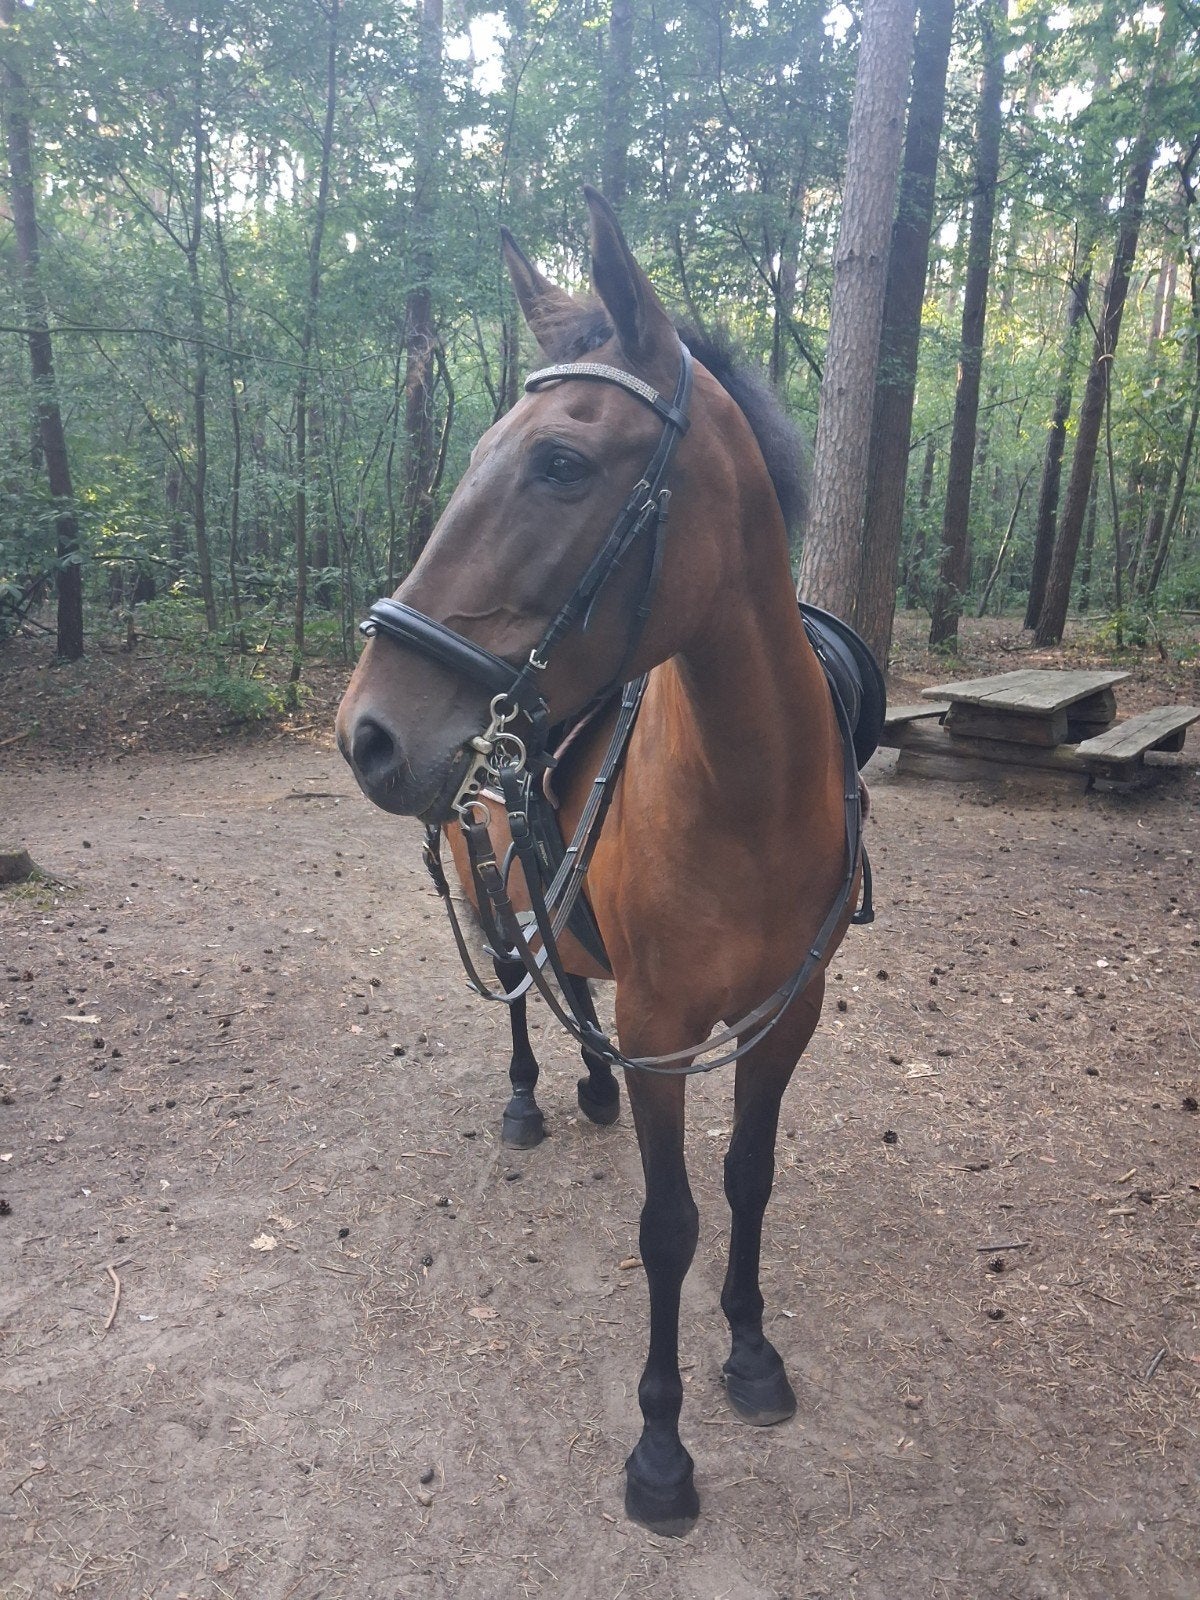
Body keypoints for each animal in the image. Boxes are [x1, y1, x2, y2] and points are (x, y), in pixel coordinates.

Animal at [336, 187, 880, 1535]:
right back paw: (537, 1093)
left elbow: (748, 1179)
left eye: (562, 465)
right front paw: (661, 1449)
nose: (368, 730)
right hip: (486, 881)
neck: (748, 798)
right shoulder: (667, 1027)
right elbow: (669, 1222)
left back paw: (581, 1081)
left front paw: (751, 1353)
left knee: (563, 972)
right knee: (519, 986)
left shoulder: (788, 1016)